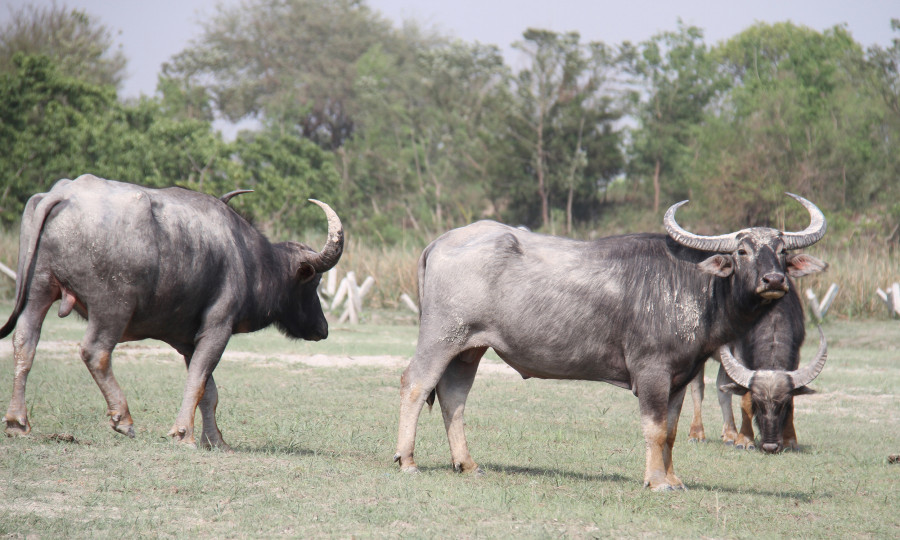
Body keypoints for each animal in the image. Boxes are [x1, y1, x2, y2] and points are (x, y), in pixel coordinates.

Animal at [1, 174, 343, 450]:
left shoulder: (189, 342)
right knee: (95, 351)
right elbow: (198, 381)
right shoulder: (217, 329)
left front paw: (216, 441)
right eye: (313, 280)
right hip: (113, 307)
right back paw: (123, 418)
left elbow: (209, 391)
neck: (250, 260)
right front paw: (184, 434)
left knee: (25, 342)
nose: (323, 328)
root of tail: (64, 194)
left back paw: (17, 422)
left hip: (39, 290)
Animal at [685, 286, 828, 454]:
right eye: (757, 404)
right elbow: (744, 400)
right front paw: (745, 441)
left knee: (722, 389)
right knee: (697, 389)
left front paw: (790, 441)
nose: (770, 446)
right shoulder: (740, 357)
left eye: (783, 405)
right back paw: (696, 434)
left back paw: (730, 435)